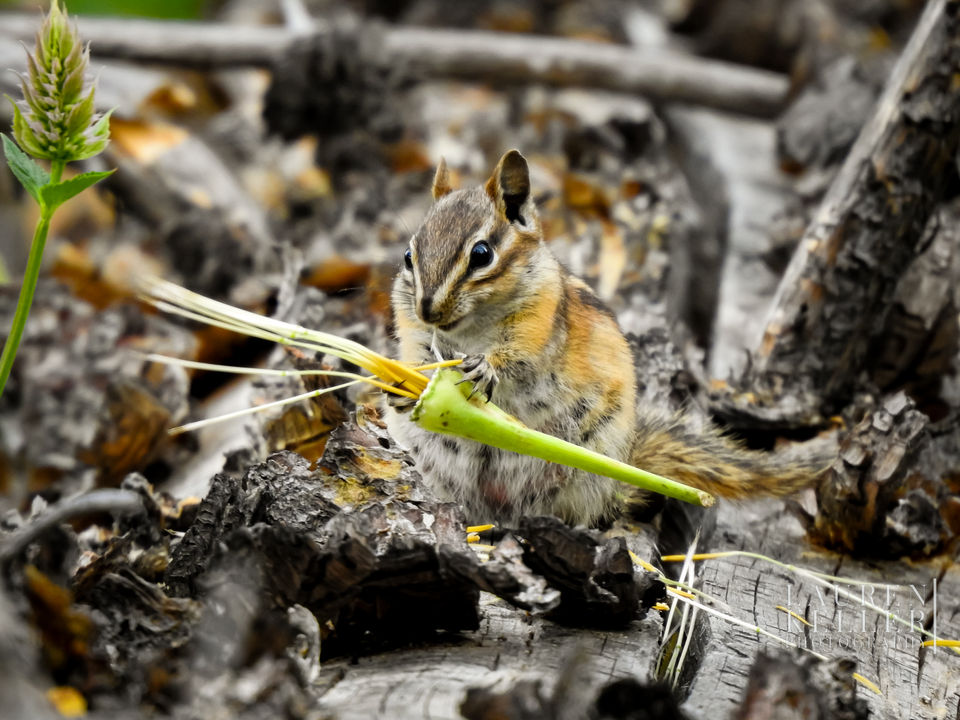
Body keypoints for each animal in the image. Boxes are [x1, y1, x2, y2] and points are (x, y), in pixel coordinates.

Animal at [384, 150, 827, 527]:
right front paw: (402, 384)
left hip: (585, 468)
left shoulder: (540, 323)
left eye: (481, 255)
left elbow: (520, 358)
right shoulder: (415, 330)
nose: (428, 310)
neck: (469, 329)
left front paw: (484, 367)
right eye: (408, 257)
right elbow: (417, 352)